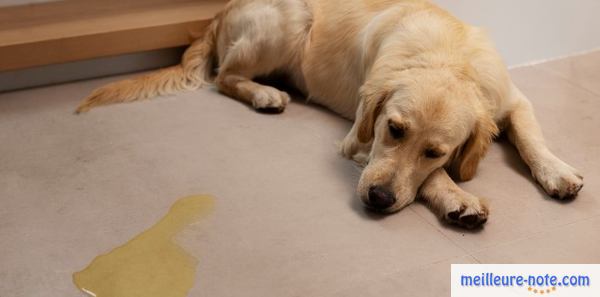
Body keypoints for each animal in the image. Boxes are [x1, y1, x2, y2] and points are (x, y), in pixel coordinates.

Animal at [75, 0, 580, 229]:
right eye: (393, 129)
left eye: (436, 150)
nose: (378, 198)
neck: (446, 55)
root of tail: (219, 10)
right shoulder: (358, 138)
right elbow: (431, 179)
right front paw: (458, 197)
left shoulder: (512, 99)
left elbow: (531, 137)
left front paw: (557, 171)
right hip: (288, 25)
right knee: (224, 77)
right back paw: (265, 94)